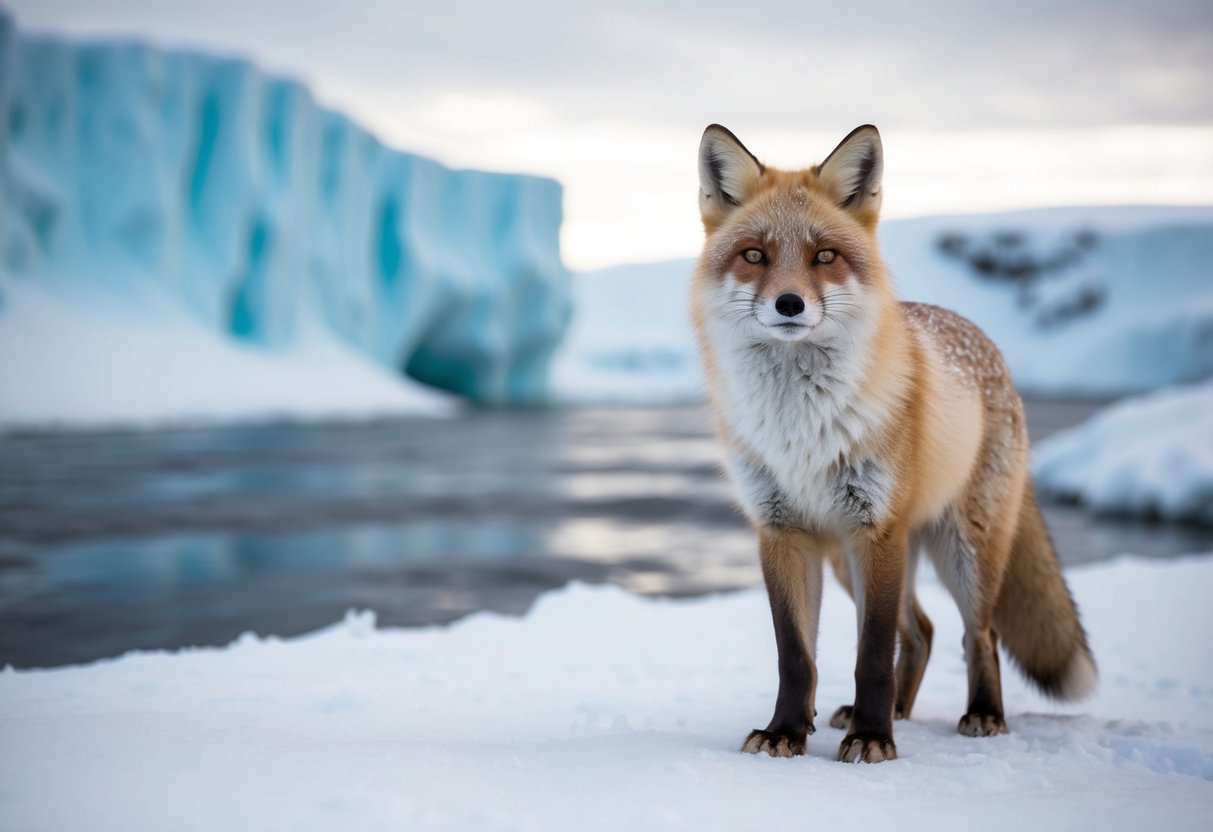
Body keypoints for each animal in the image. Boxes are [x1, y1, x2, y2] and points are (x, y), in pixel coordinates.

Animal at [690, 124, 1097, 763]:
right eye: (754, 255)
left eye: (824, 256)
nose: (789, 304)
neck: (799, 425)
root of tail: (985, 343)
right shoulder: (782, 530)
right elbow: (796, 657)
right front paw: (786, 731)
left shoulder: (876, 527)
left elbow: (874, 655)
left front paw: (872, 739)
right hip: (849, 559)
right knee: (922, 631)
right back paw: (894, 712)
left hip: (960, 548)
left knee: (976, 632)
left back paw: (979, 713)